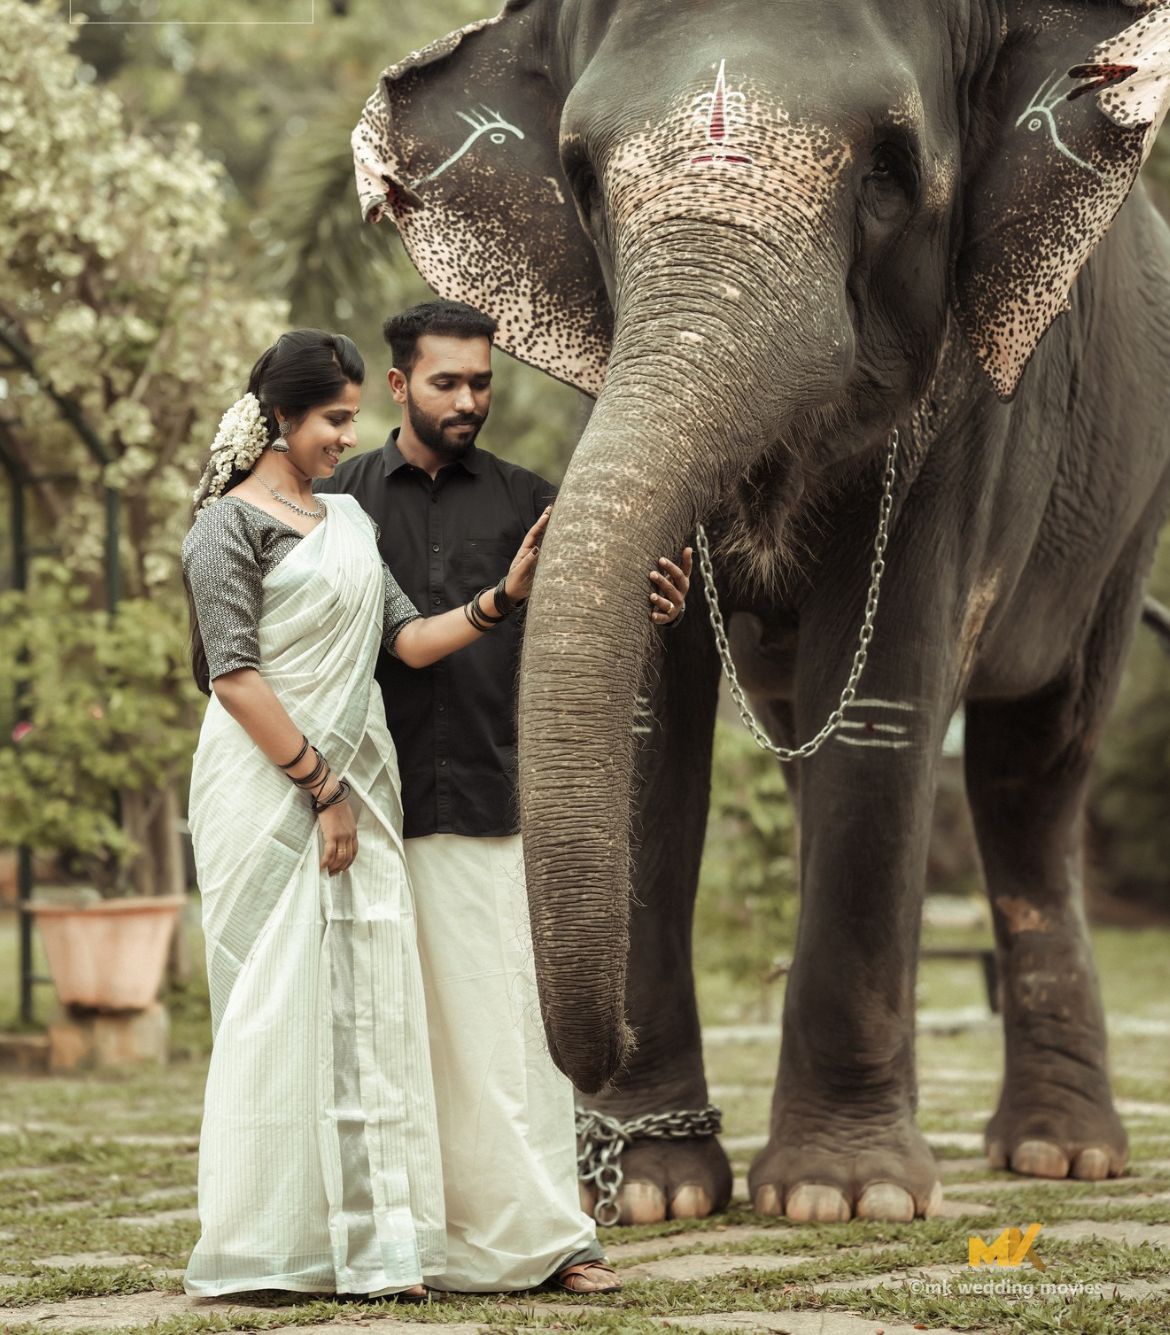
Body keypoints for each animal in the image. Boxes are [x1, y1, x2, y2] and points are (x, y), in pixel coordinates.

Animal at [355, 0, 1170, 1222]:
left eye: (889, 170)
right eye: (580, 177)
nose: (591, 1071)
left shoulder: (967, 422)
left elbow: (881, 713)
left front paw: (843, 1195)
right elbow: (652, 725)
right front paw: (652, 1192)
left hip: (1127, 513)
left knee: (1033, 767)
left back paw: (1057, 1155)